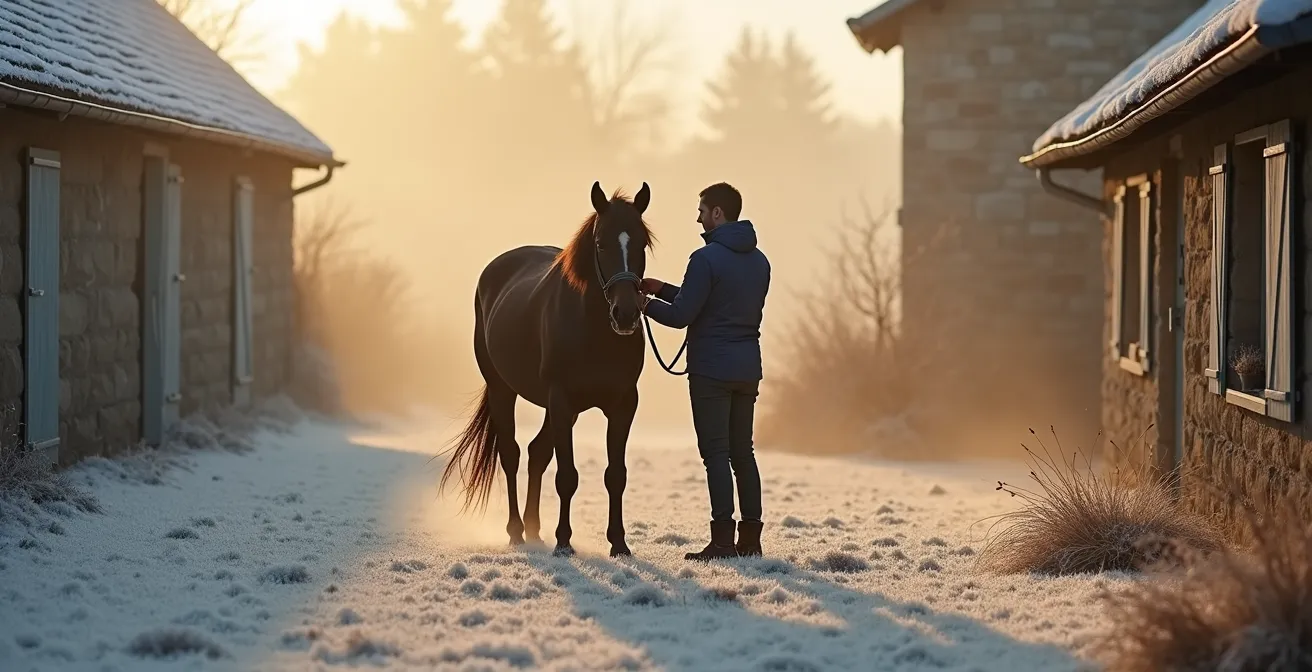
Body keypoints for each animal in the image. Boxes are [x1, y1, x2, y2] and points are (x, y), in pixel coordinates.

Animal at [439, 181, 654, 557]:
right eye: (601, 243)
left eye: (641, 243)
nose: (626, 314)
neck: (592, 331)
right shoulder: (562, 399)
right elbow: (567, 476)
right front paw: (564, 542)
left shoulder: (623, 404)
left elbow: (616, 475)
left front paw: (618, 543)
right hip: (503, 390)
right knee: (511, 454)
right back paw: (516, 531)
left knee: (536, 454)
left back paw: (535, 530)